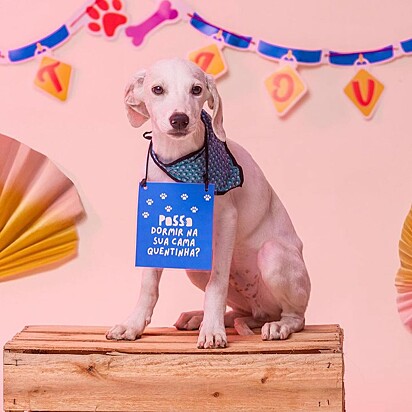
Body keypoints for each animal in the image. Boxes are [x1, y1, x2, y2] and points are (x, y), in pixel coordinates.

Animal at [108, 58, 310, 348]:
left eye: (196, 90)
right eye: (157, 89)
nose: (179, 119)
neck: (178, 160)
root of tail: (262, 310)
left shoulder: (226, 221)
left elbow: (217, 284)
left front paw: (213, 331)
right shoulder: (154, 228)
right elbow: (148, 285)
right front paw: (133, 325)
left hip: (272, 256)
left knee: (296, 316)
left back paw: (277, 326)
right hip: (196, 268)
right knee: (241, 312)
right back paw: (199, 317)